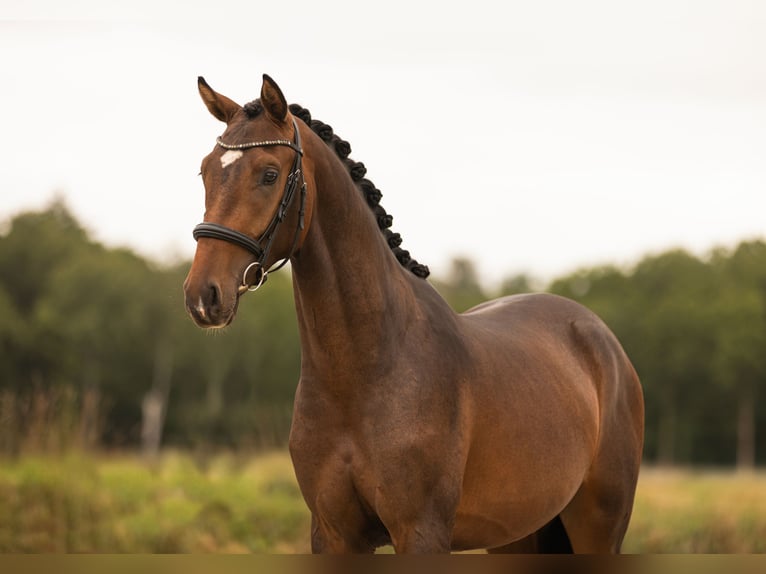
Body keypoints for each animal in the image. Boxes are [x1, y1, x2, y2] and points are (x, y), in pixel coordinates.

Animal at [183, 74, 644, 554]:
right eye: (205, 171)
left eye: (269, 174)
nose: (203, 295)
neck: (364, 371)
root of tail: (602, 341)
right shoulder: (333, 533)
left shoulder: (421, 531)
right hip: (518, 535)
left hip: (598, 527)